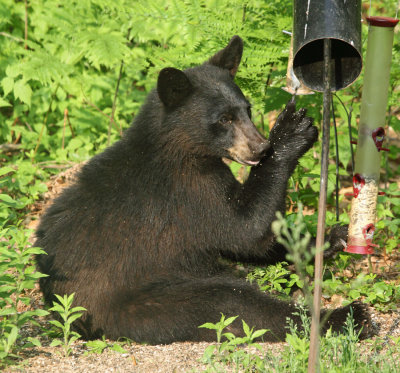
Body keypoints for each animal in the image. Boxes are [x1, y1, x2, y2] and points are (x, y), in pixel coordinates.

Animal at [36, 35, 370, 342]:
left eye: (248, 109)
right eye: (224, 119)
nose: (260, 148)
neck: (179, 147)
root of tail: (73, 320)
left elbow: (248, 240)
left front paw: (331, 237)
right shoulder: (189, 189)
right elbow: (243, 229)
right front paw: (290, 133)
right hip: (146, 300)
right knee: (235, 303)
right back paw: (348, 316)